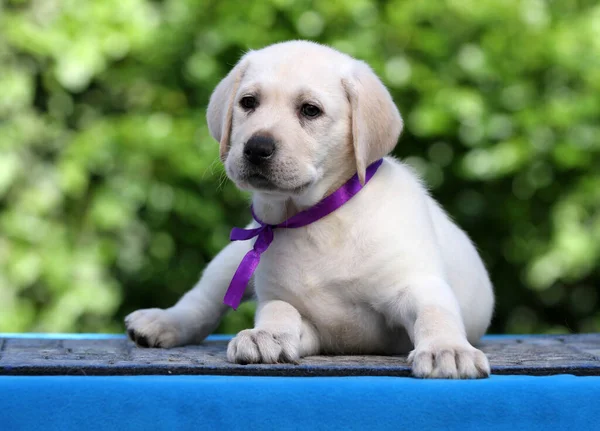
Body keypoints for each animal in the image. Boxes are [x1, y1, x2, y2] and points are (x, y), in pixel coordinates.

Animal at [125, 40, 492, 378]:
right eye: (248, 102)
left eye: (310, 110)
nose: (257, 147)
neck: (317, 220)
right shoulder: (301, 315)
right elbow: (277, 309)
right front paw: (265, 335)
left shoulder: (416, 284)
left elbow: (435, 313)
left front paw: (448, 349)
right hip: (233, 257)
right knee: (201, 301)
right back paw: (159, 321)